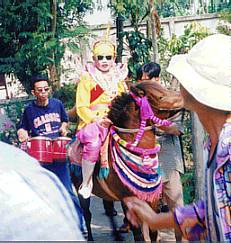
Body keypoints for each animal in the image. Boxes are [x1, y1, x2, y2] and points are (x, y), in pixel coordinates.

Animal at [70, 80, 182, 240]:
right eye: (160, 96)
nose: (184, 96)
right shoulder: (127, 200)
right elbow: (138, 234)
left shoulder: (152, 199)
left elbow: (152, 231)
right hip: (80, 190)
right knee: (87, 214)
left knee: (109, 210)